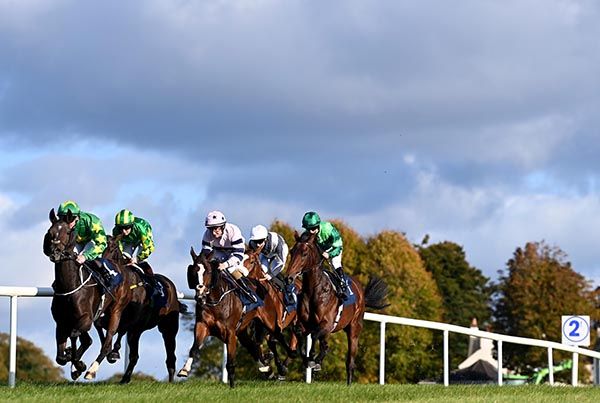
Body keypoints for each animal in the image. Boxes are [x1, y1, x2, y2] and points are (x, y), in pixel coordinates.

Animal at [44, 208, 133, 382]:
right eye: (50, 232)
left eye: (67, 231)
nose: (55, 253)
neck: (70, 285)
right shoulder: (61, 322)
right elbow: (60, 356)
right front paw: (72, 360)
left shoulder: (85, 318)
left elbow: (75, 335)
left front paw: (78, 364)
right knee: (92, 340)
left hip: (116, 311)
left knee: (106, 343)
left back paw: (91, 369)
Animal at [97, 238, 185, 384]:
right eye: (104, 251)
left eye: (113, 251)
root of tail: (170, 284)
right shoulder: (112, 318)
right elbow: (102, 326)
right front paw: (110, 351)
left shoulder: (132, 323)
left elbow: (120, 331)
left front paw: (114, 352)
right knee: (135, 356)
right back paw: (125, 378)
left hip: (168, 328)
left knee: (170, 356)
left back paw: (171, 381)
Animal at [286, 230, 390, 386]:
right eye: (292, 251)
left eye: (304, 253)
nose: (288, 278)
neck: (314, 290)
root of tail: (361, 293)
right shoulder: (305, 324)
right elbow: (299, 334)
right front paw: (307, 359)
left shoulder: (327, 323)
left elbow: (314, 336)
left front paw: (312, 358)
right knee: (325, 345)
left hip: (354, 328)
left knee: (350, 361)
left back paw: (348, 382)